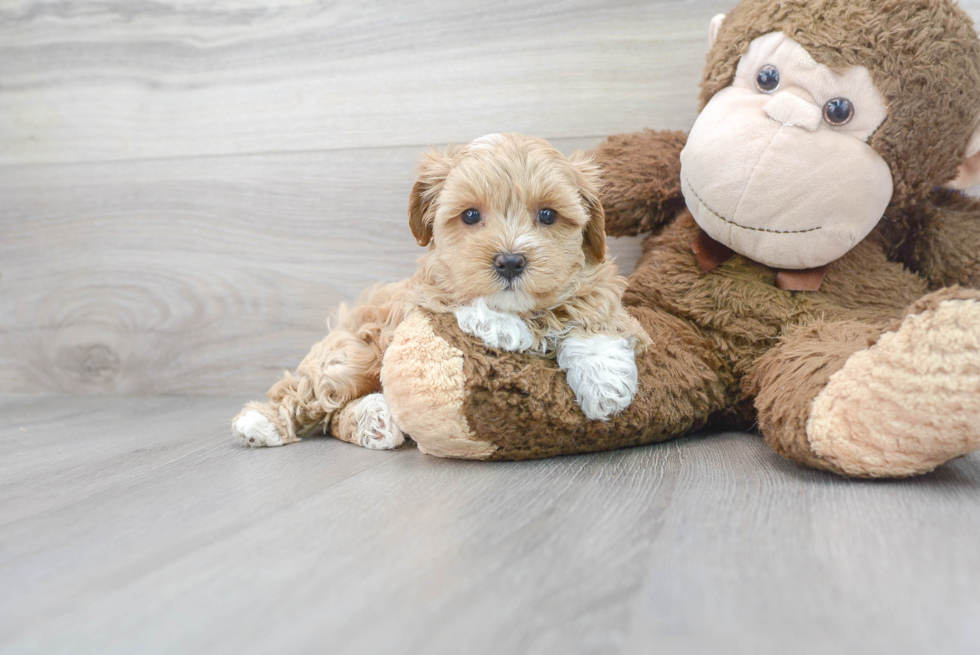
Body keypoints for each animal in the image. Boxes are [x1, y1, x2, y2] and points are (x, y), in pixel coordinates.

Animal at [233, 133, 648, 452]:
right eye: (470, 215)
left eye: (547, 215)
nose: (510, 261)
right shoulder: (427, 295)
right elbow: (465, 305)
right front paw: (501, 326)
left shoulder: (602, 291)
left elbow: (594, 314)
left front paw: (604, 383)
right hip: (350, 356)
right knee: (308, 394)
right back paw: (261, 422)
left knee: (333, 417)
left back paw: (376, 421)